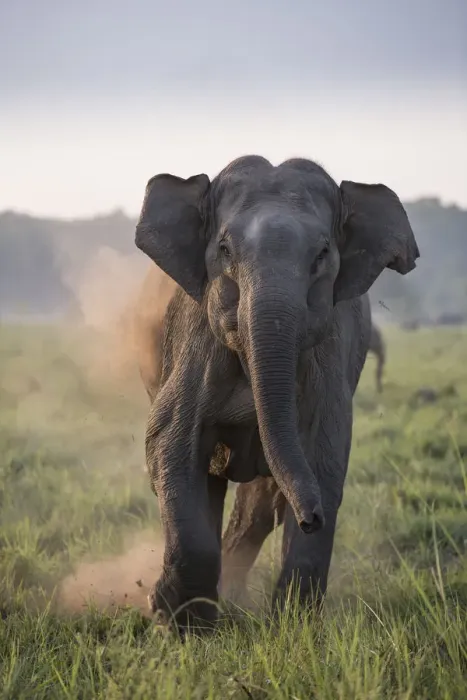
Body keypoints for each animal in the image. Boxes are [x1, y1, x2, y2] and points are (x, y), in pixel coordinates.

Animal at [133, 155, 419, 632]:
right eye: (224, 250)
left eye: (322, 255)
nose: (310, 517)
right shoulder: (195, 339)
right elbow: (170, 445)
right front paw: (173, 626)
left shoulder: (329, 356)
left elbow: (324, 461)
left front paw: (296, 629)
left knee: (258, 507)